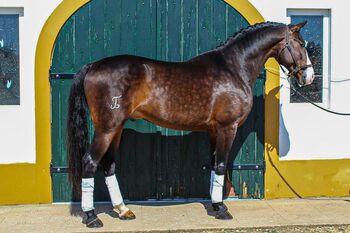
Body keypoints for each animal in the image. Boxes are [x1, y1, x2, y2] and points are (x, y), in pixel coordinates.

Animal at [65, 20, 314, 227]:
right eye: (301, 44)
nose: (309, 77)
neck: (233, 68)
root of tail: (93, 66)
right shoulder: (227, 128)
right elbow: (221, 165)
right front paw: (222, 209)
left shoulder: (214, 131)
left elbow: (213, 165)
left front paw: (215, 205)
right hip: (106, 129)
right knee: (89, 162)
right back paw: (91, 216)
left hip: (115, 129)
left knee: (108, 165)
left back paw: (123, 210)